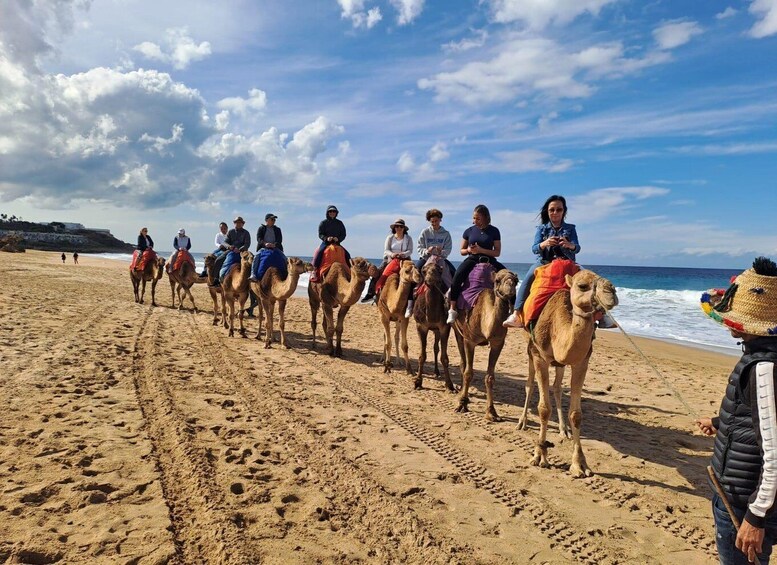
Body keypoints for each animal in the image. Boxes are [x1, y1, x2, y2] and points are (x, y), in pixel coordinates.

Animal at [410, 258, 452, 390]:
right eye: (424, 270)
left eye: (439, 270)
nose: (431, 276)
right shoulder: (421, 326)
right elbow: (422, 356)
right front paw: (418, 382)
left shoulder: (444, 327)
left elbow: (444, 357)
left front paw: (450, 385)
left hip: (436, 330)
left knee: (436, 348)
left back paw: (437, 371)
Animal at [448, 268, 516, 418]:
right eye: (497, 280)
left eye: (516, 280)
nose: (511, 287)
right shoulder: (469, 340)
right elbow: (468, 372)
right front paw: (462, 404)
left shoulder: (498, 343)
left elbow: (490, 377)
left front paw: (491, 412)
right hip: (458, 331)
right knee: (463, 363)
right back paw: (461, 394)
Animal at [520, 268, 620, 476]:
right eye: (582, 286)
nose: (611, 291)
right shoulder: (540, 356)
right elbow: (543, 409)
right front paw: (540, 456)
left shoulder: (581, 362)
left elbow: (576, 414)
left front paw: (580, 464)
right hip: (530, 349)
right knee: (529, 384)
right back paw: (522, 422)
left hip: (560, 364)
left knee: (557, 387)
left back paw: (563, 430)